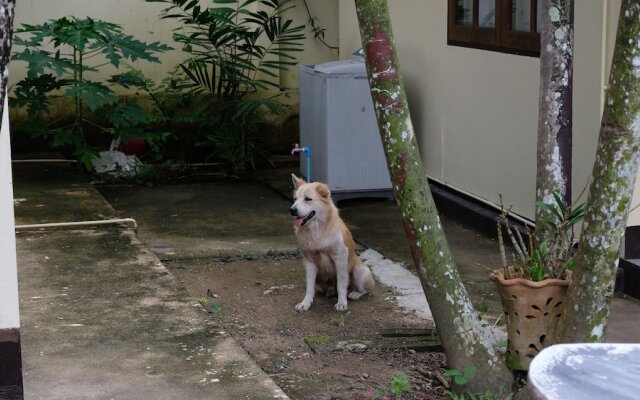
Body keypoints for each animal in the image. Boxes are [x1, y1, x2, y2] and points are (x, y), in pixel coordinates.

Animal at [288, 175, 372, 312]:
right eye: (295, 199)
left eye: (308, 199)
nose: (292, 210)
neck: (316, 229)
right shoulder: (309, 261)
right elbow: (309, 288)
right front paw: (305, 303)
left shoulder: (340, 257)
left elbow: (341, 284)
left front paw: (342, 303)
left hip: (360, 271)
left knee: (364, 290)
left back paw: (354, 293)